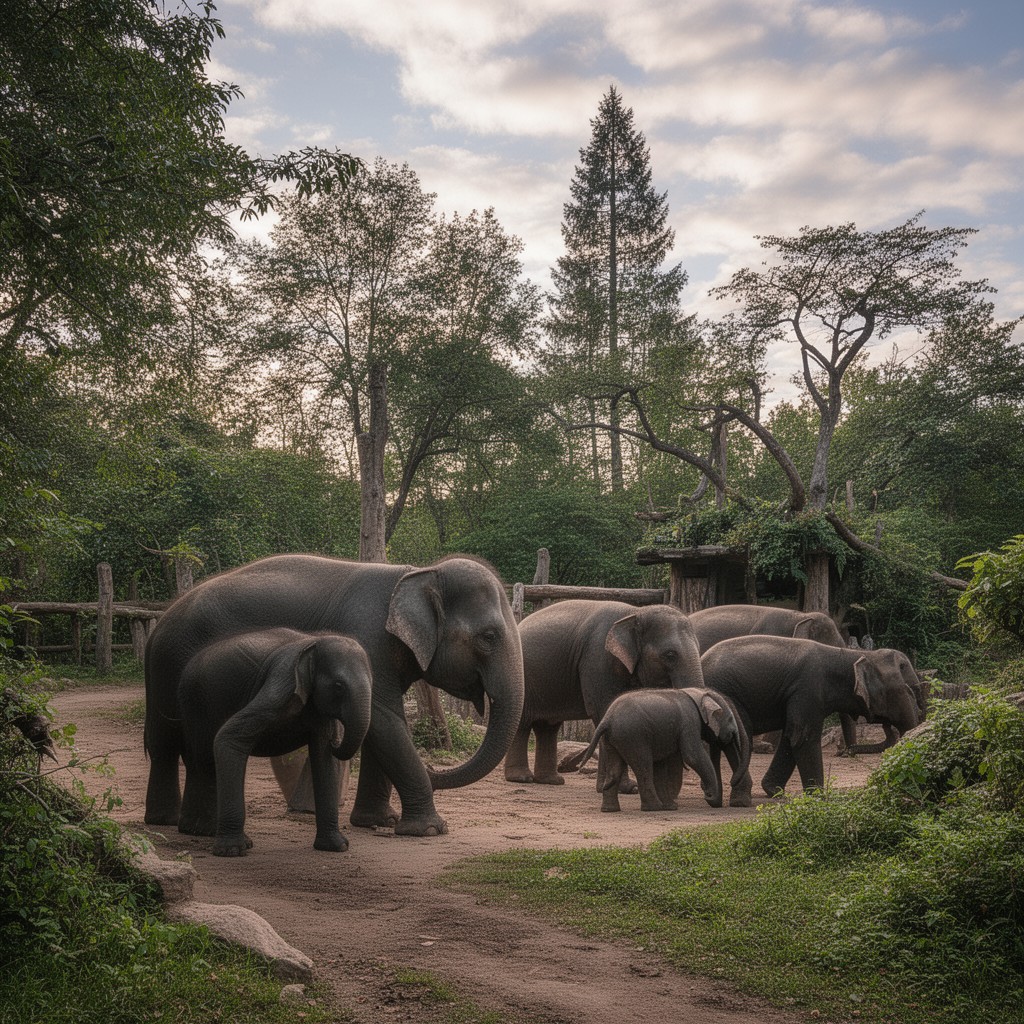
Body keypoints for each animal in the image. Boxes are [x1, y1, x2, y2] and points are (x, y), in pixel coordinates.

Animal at [175, 628, 372, 856]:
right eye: (339, 687)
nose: (336, 742)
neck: (315, 642)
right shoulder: (281, 683)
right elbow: (227, 737)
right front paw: (232, 851)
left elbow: (323, 757)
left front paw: (337, 847)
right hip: (194, 704)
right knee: (203, 760)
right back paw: (205, 833)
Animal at [503, 600, 705, 787]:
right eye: (670, 655)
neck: (635, 612)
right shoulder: (598, 658)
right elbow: (604, 710)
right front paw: (621, 787)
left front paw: (626, 788)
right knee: (523, 723)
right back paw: (521, 778)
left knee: (547, 727)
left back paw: (552, 781)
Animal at [562, 687, 751, 812]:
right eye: (731, 719)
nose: (708, 795)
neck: (697, 693)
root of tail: (607, 719)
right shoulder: (689, 722)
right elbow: (691, 756)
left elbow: (664, 762)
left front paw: (672, 807)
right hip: (633, 736)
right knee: (643, 766)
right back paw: (653, 807)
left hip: (611, 739)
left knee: (615, 769)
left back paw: (610, 810)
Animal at [700, 636, 923, 796]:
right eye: (909, 691)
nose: (845, 752)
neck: (850, 655)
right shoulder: (808, 689)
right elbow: (803, 738)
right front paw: (817, 796)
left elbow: (791, 737)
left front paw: (773, 791)